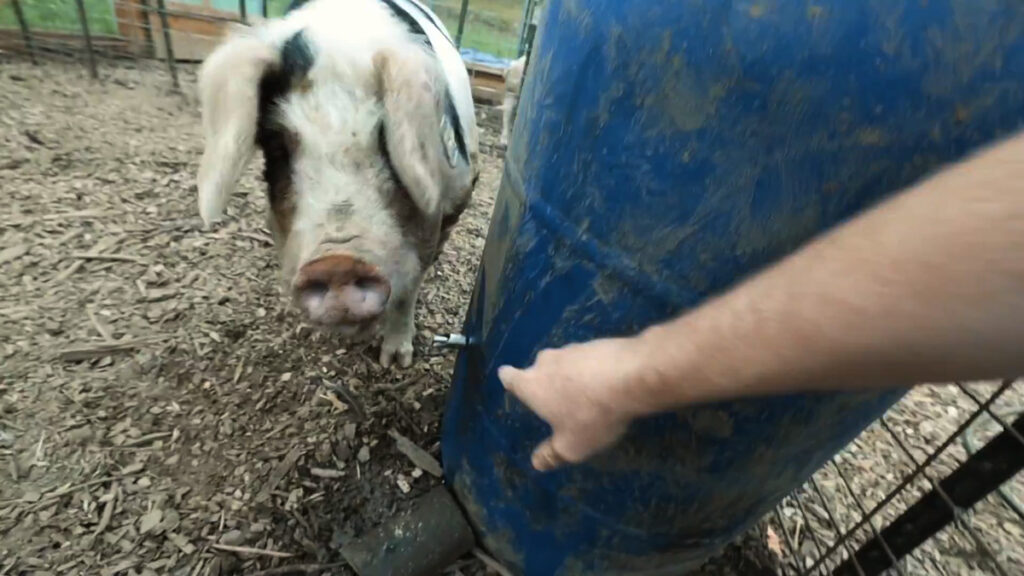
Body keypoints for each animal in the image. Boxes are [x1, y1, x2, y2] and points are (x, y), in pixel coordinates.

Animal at [195, 0, 479, 366]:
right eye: (277, 147)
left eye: (386, 141)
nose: (337, 264)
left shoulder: (439, 210)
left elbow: (410, 288)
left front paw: (396, 361)